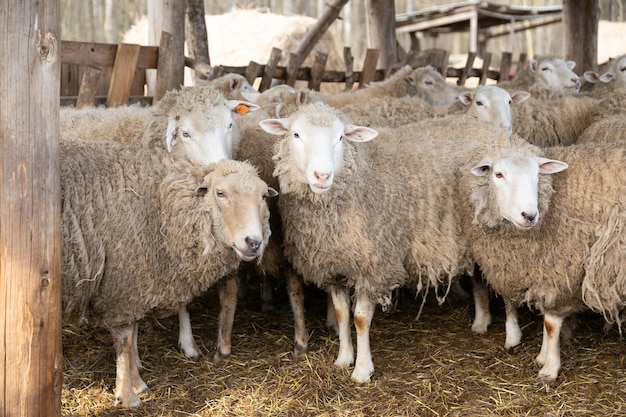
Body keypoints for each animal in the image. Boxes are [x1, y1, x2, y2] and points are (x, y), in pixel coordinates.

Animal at [61, 137, 276, 406]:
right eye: (220, 193)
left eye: (264, 196)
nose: (253, 242)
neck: (160, 206)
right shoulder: (122, 285)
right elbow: (124, 340)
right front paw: (128, 395)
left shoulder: (136, 281)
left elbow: (132, 335)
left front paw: (136, 381)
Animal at [454, 141, 624, 384]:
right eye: (498, 174)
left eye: (537, 174)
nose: (529, 215)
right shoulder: (524, 269)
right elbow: (519, 306)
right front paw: (539, 355)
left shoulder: (560, 272)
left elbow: (551, 323)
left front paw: (549, 367)